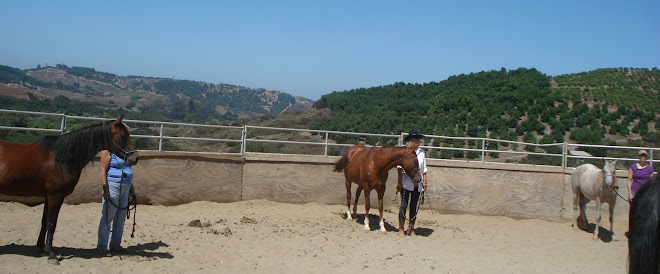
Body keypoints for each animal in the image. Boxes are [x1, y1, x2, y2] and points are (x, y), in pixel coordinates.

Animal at [0, 116, 138, 264]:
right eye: (122, 135)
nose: (135, 157)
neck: (59, 159)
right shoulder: (56, 196)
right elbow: (51, 223)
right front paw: (51, 254)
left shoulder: (48, 196)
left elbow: (44, 222)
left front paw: (41, 249)